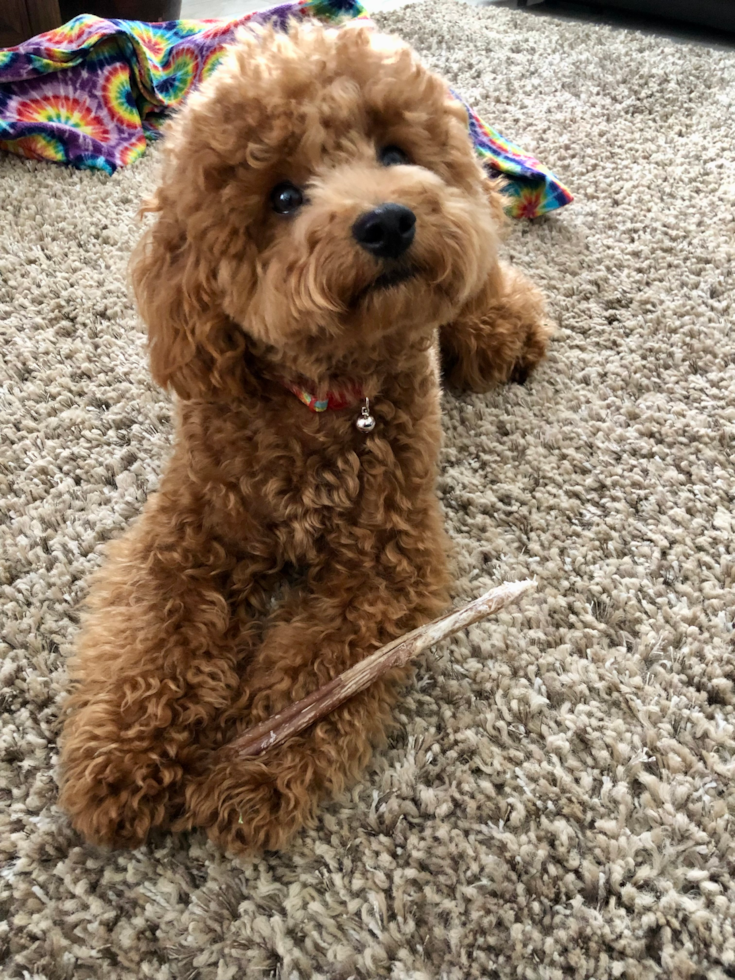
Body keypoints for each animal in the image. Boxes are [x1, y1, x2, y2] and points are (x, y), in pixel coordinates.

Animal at [59, 19, 552, 852]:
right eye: (283, 196)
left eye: (393, 151)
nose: (387, 220)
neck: (322, 399)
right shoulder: (185, 536)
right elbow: (153, 640)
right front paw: (124, 756)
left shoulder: (380, 562)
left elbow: (318, 667)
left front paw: (251, 772)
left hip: (473, 270)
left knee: (488, 278)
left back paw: (500, 330)